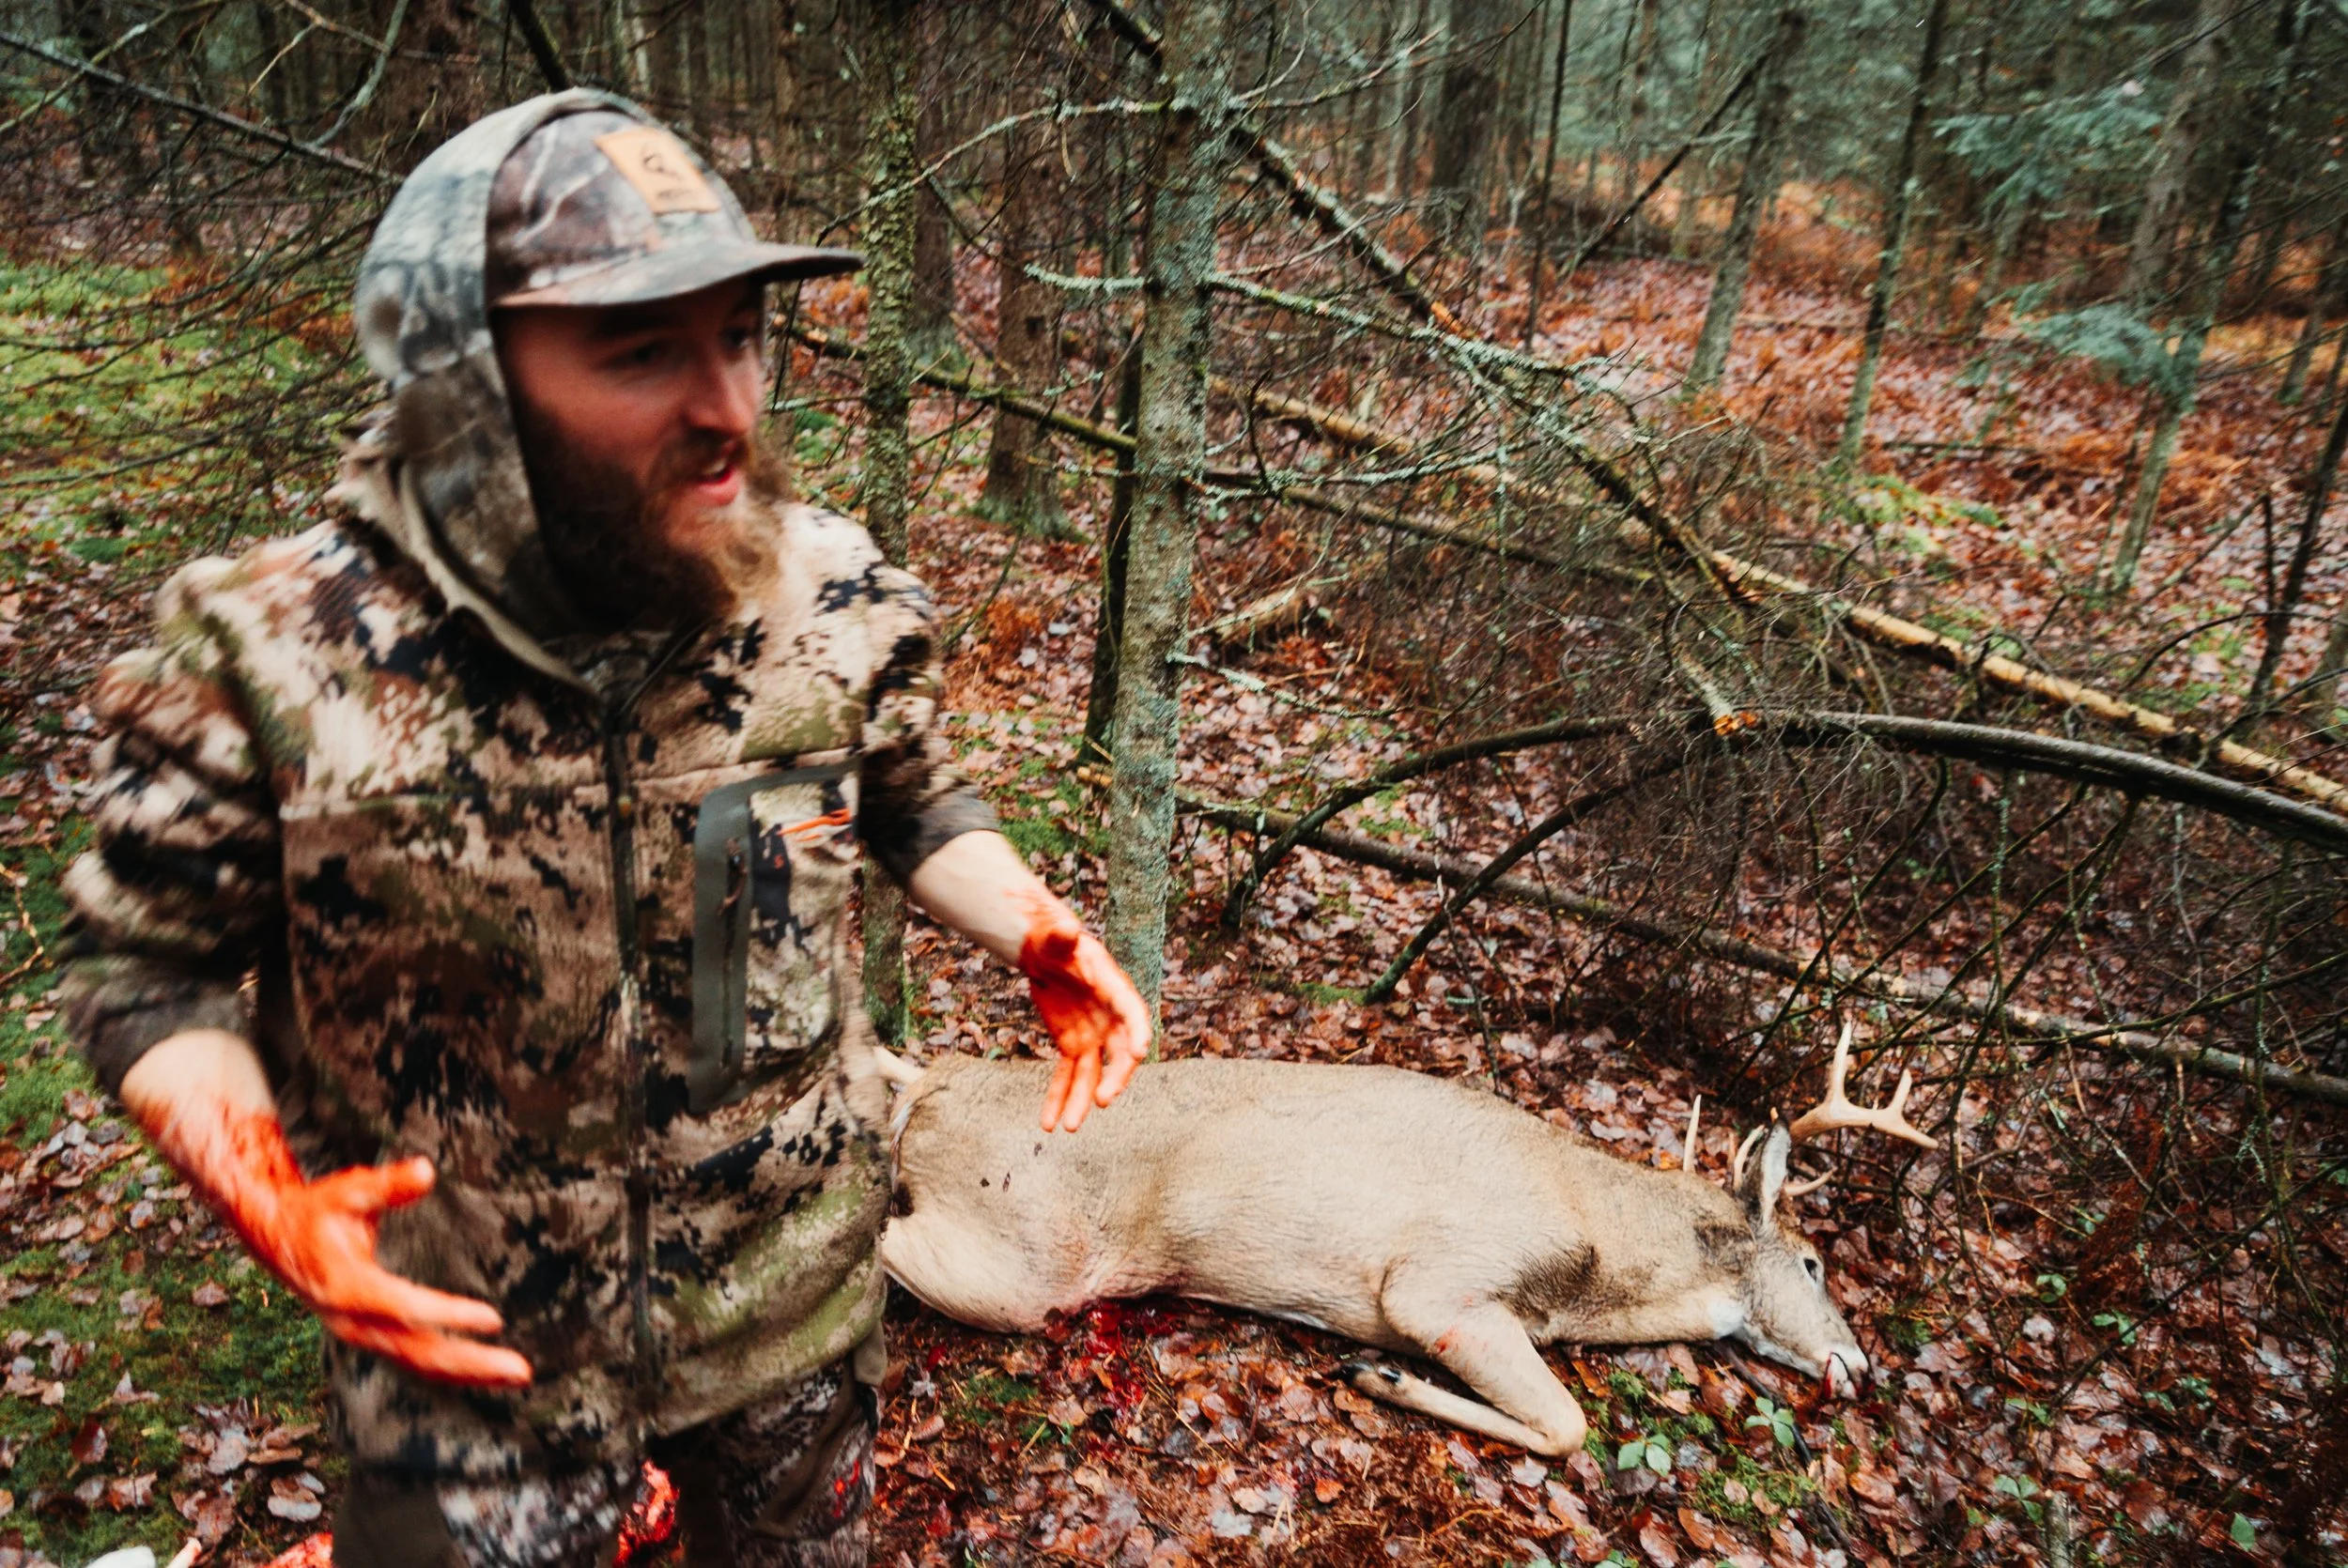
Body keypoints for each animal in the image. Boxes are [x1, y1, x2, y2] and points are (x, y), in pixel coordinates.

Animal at [876, 1022, 1932, 1456]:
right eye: (1813, 1260)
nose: (1860, 1361)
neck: (1603, 1251)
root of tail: (932, 1085)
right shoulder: (1437, 1283)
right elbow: (1567, 1426)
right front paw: (1381, 1375)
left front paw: (1379, 1375)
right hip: (1028, 1256)